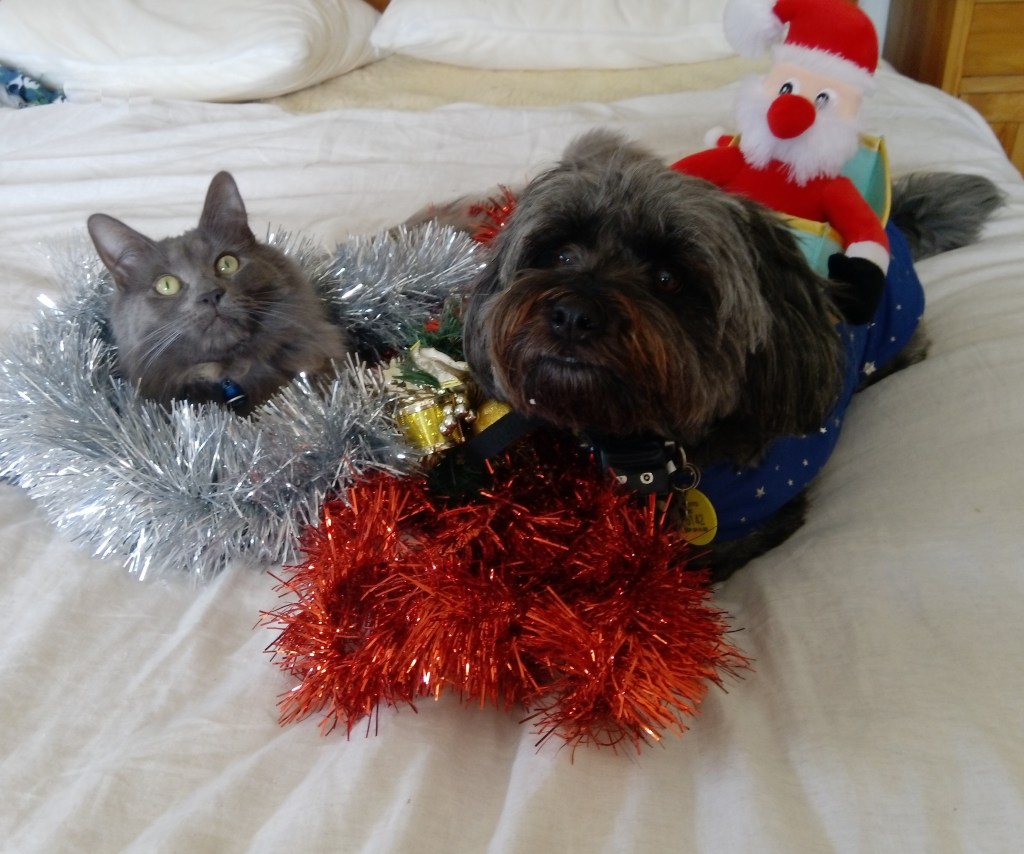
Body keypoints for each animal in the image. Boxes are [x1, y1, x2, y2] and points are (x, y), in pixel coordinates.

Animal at [457, 129, 1002, 580]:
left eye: (668, 278)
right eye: (562, 254)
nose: (572, 314)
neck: (652, 450)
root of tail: (893, 230)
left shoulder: (748, 522)